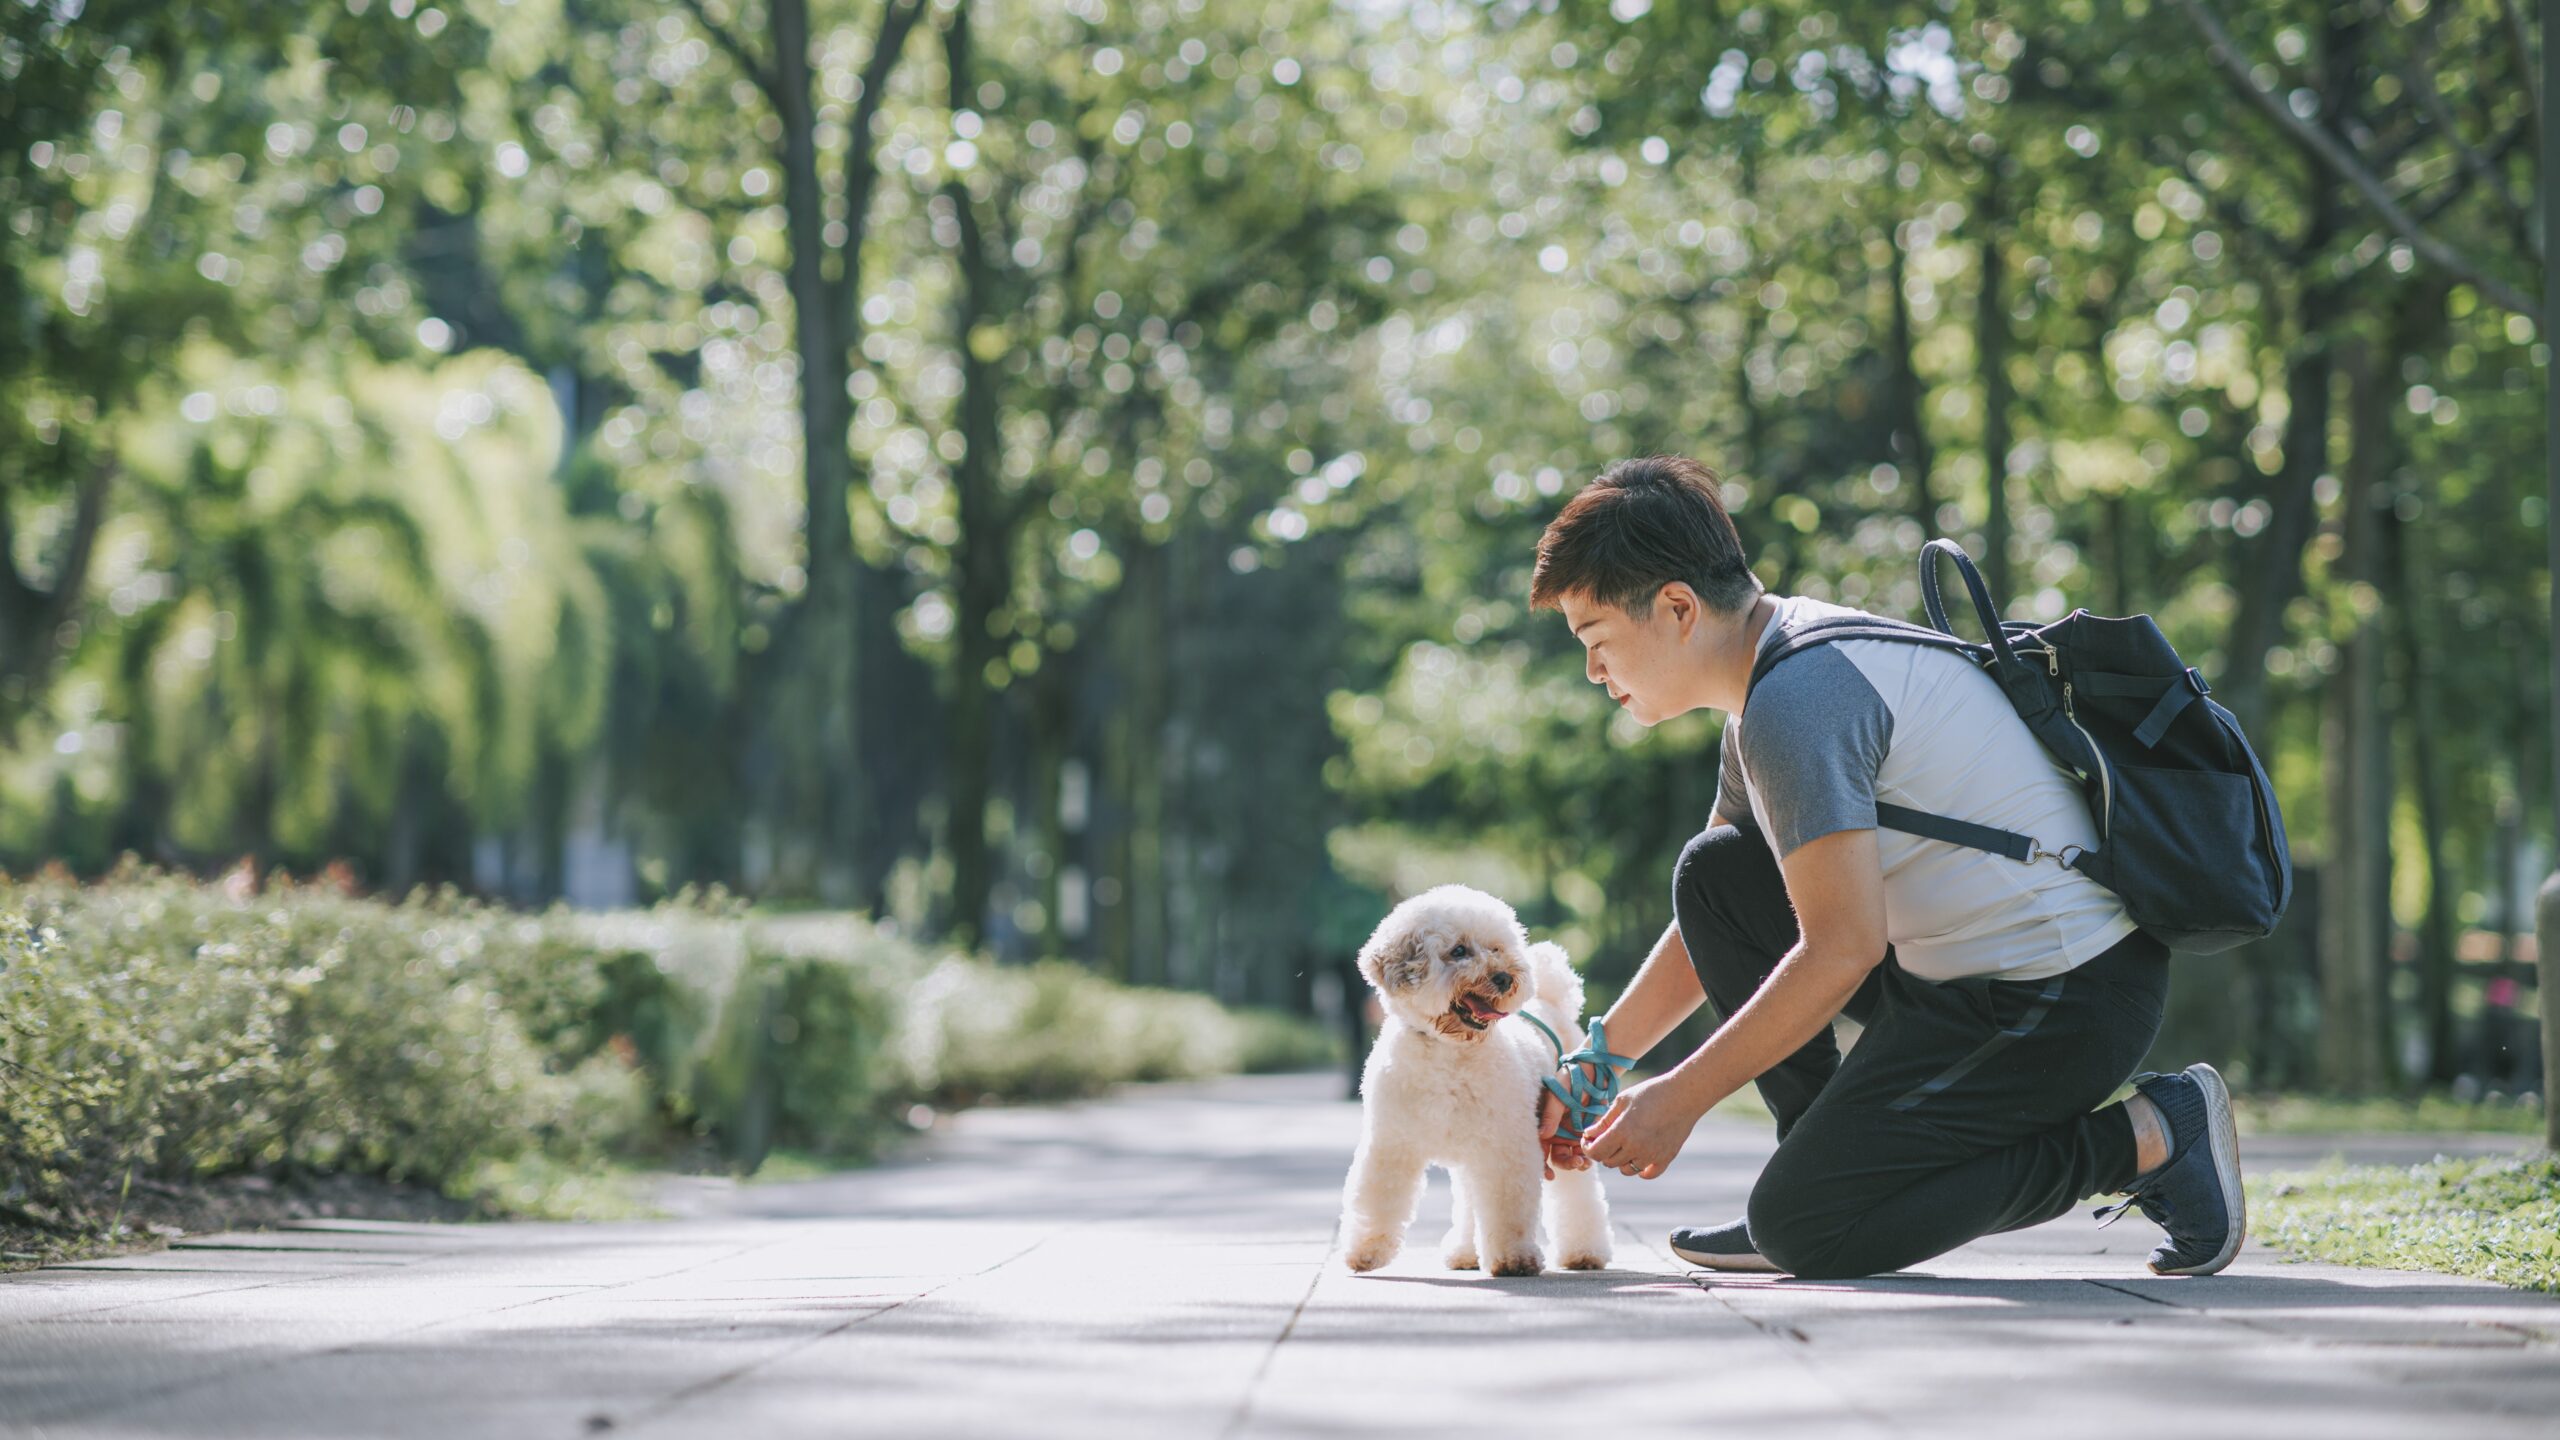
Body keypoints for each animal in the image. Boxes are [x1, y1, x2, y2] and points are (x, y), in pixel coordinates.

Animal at [1331, 881, 1607, 1270]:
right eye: (1458, 951)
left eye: (1496, 948)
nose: (1504, 978)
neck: (1447, 1051)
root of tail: (1552, 1000)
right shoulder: (1391, 1142)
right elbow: (1378, 1198)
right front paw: (1366, 1251)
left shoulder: (1504, 1148)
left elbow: (1508, 1210)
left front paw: (1513, 1259)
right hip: (1469, 1156)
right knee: (1468, 1200)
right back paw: (1464, 1253)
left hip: (1565, 1127)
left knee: (1577, 1194)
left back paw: (1585, 1252)